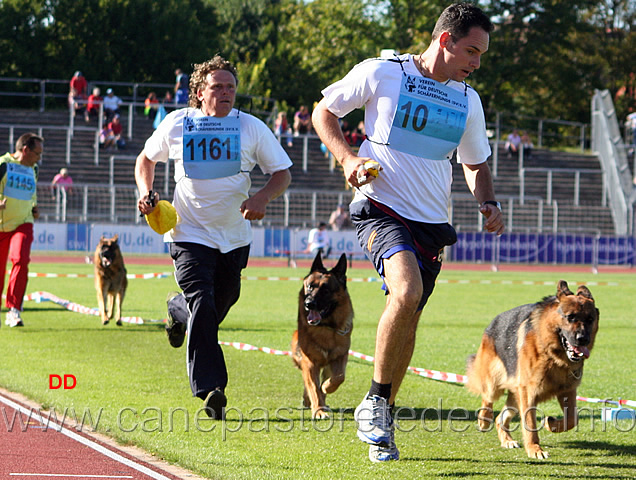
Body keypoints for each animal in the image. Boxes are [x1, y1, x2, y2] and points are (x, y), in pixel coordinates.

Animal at [292, 253, 352, 418]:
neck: (326, 327)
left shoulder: (340, 357)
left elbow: (339, 377)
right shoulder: (309, 363)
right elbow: (313, 387)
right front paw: (318, 410)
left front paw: (327, 387)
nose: (309, 303)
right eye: (310, 286)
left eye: (326, 290)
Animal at [464, 280, 600, 460]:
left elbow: (572, 419)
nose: (583, 339)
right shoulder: (528, 392)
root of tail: (493, 323)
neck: (552, 354)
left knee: (501, 417)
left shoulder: (567, 390)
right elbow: (529, 423)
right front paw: (535, 449)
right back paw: (484, 420)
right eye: (570, 317)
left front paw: (551, 424)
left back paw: (507, 440)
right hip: (495, 383)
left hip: (516, 396)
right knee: (487, 398)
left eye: (590, 319)